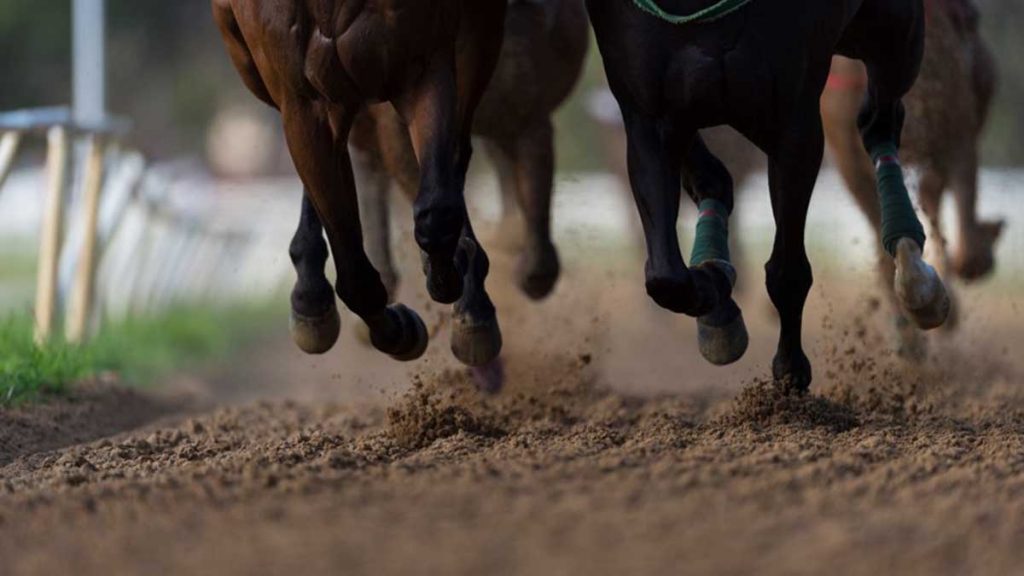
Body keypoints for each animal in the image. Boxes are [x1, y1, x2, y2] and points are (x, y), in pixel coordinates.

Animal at [212, 0, 508, 369]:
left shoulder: (422, 62)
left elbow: (437, 210)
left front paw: (452, 279)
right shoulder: (302, 100)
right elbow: (354, 277)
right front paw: (399, 329)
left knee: (454, 153)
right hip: (250, 61)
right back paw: (312, 297)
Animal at [587, 0, 950, 391]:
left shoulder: (793, 122)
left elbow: (787, 270)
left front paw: (791, 369)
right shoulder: (647, 113)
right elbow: (665, 276)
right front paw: (716, 293)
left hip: (893, 34)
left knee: (880, 120)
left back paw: (917, 279)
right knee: (713, 179)